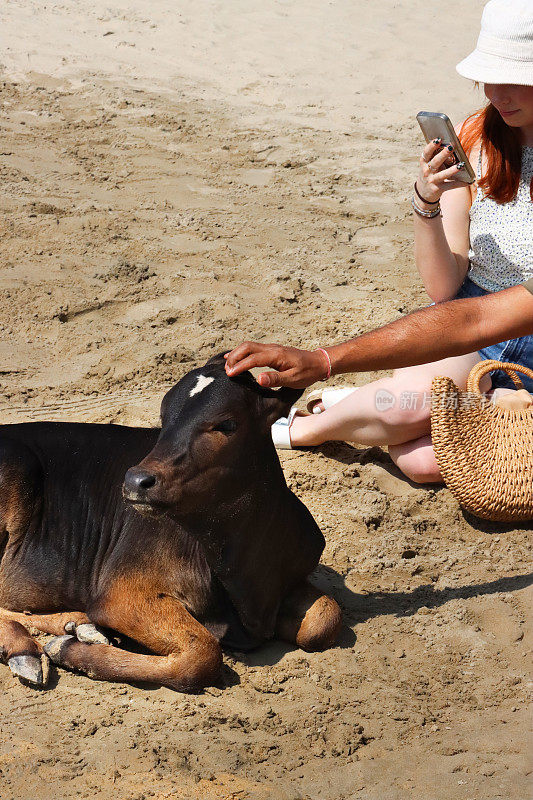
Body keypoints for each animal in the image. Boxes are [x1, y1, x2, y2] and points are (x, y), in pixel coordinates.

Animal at [0, 354, 340, 692]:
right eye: (164, 419)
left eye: (227, 424)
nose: (136, 481)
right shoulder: (123, 593)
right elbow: (202, 655)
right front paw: (68, 651)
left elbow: (324, 620)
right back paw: (27, 648)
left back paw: (80, 626)